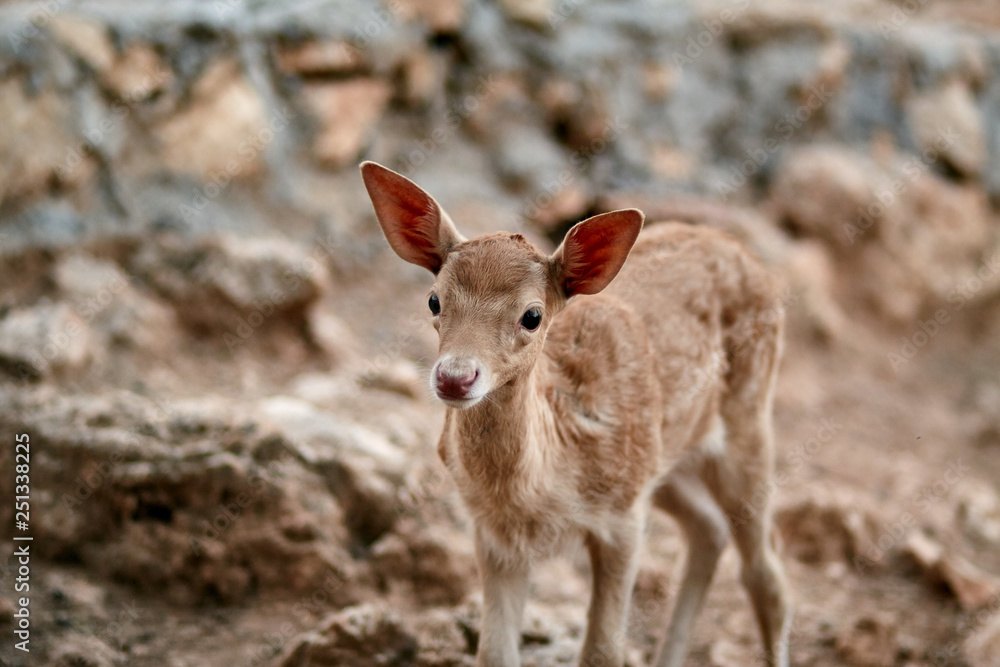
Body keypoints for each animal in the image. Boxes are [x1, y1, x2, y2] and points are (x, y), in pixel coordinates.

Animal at [360, 161, 792, 667]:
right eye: (434, 301)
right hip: (664, 459)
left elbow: (603, 651)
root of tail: (745, 253)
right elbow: (494, 653)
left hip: (748, 415)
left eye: (531, 316)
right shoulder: (494, 534)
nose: (454, 377)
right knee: (709, 527)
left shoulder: (622, 519)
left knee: (767, 574)